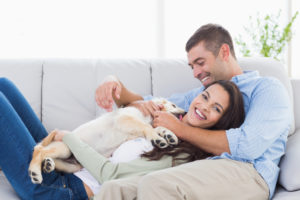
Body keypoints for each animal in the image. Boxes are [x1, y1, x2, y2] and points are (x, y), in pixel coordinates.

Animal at [29, 97, 185, 184]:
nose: (184, 112)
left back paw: (48, 165)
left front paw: (169, 135)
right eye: (173, 105)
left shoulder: (132, 132)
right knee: (38, 150)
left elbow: (156, 127)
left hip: (72, 165)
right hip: (64, 147)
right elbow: (147, 126)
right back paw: (35, 173)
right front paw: (158, 138)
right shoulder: (124, 119)